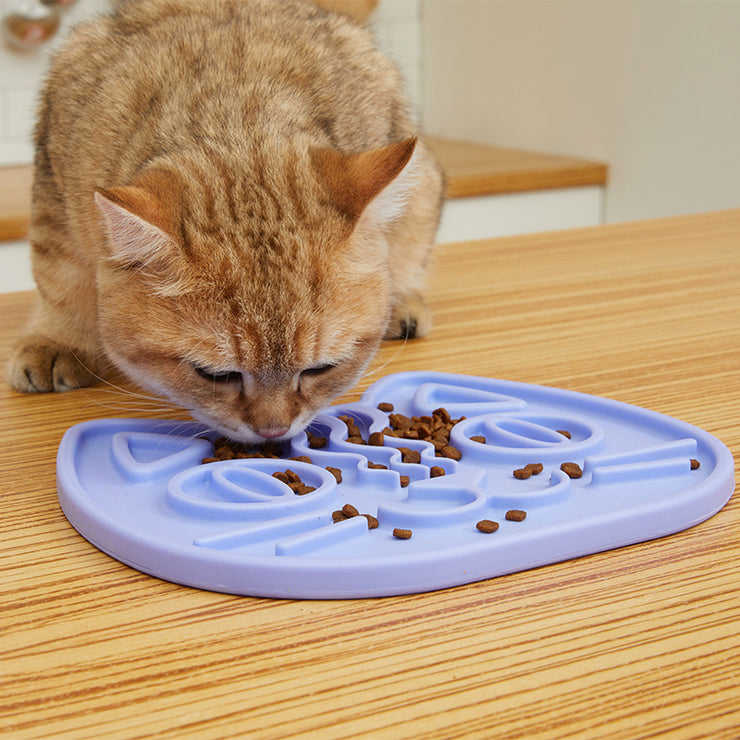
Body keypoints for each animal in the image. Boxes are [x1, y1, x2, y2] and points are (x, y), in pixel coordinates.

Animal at [5, 0, 442, 446]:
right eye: (215, 375)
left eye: (320, 369)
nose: (273, 430)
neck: (236, 115)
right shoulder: (56, 193)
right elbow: (61, 279)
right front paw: (59, 339)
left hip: (422, 181)